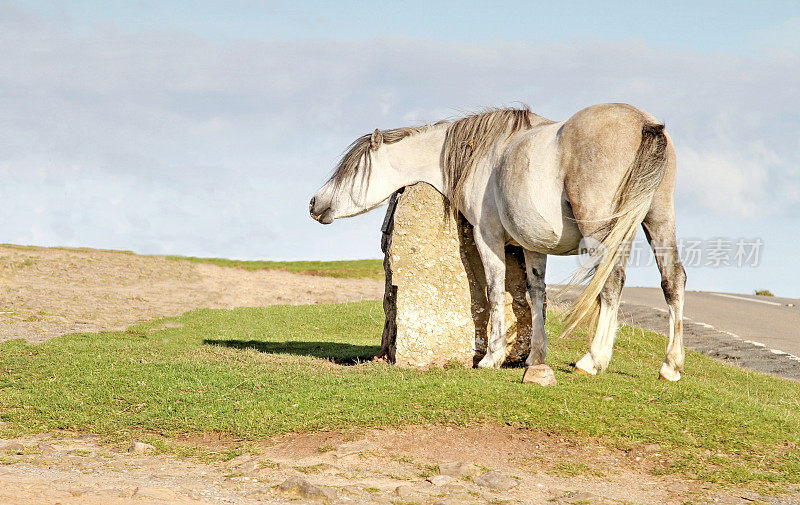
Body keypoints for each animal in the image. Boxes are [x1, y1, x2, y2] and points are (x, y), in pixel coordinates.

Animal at [310, 104, 684, 380]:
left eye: (351, 171)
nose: (314, 203)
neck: (483, 154)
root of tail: (643, 123)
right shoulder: (533, 245)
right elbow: (535, 294)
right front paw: (535, 356)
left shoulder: (487, 236)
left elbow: (493, 290)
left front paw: (492, 356)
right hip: (658, 220)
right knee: (672, 281)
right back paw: (670, 366)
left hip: (602, 230)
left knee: (611, 283)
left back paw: (592, 360)